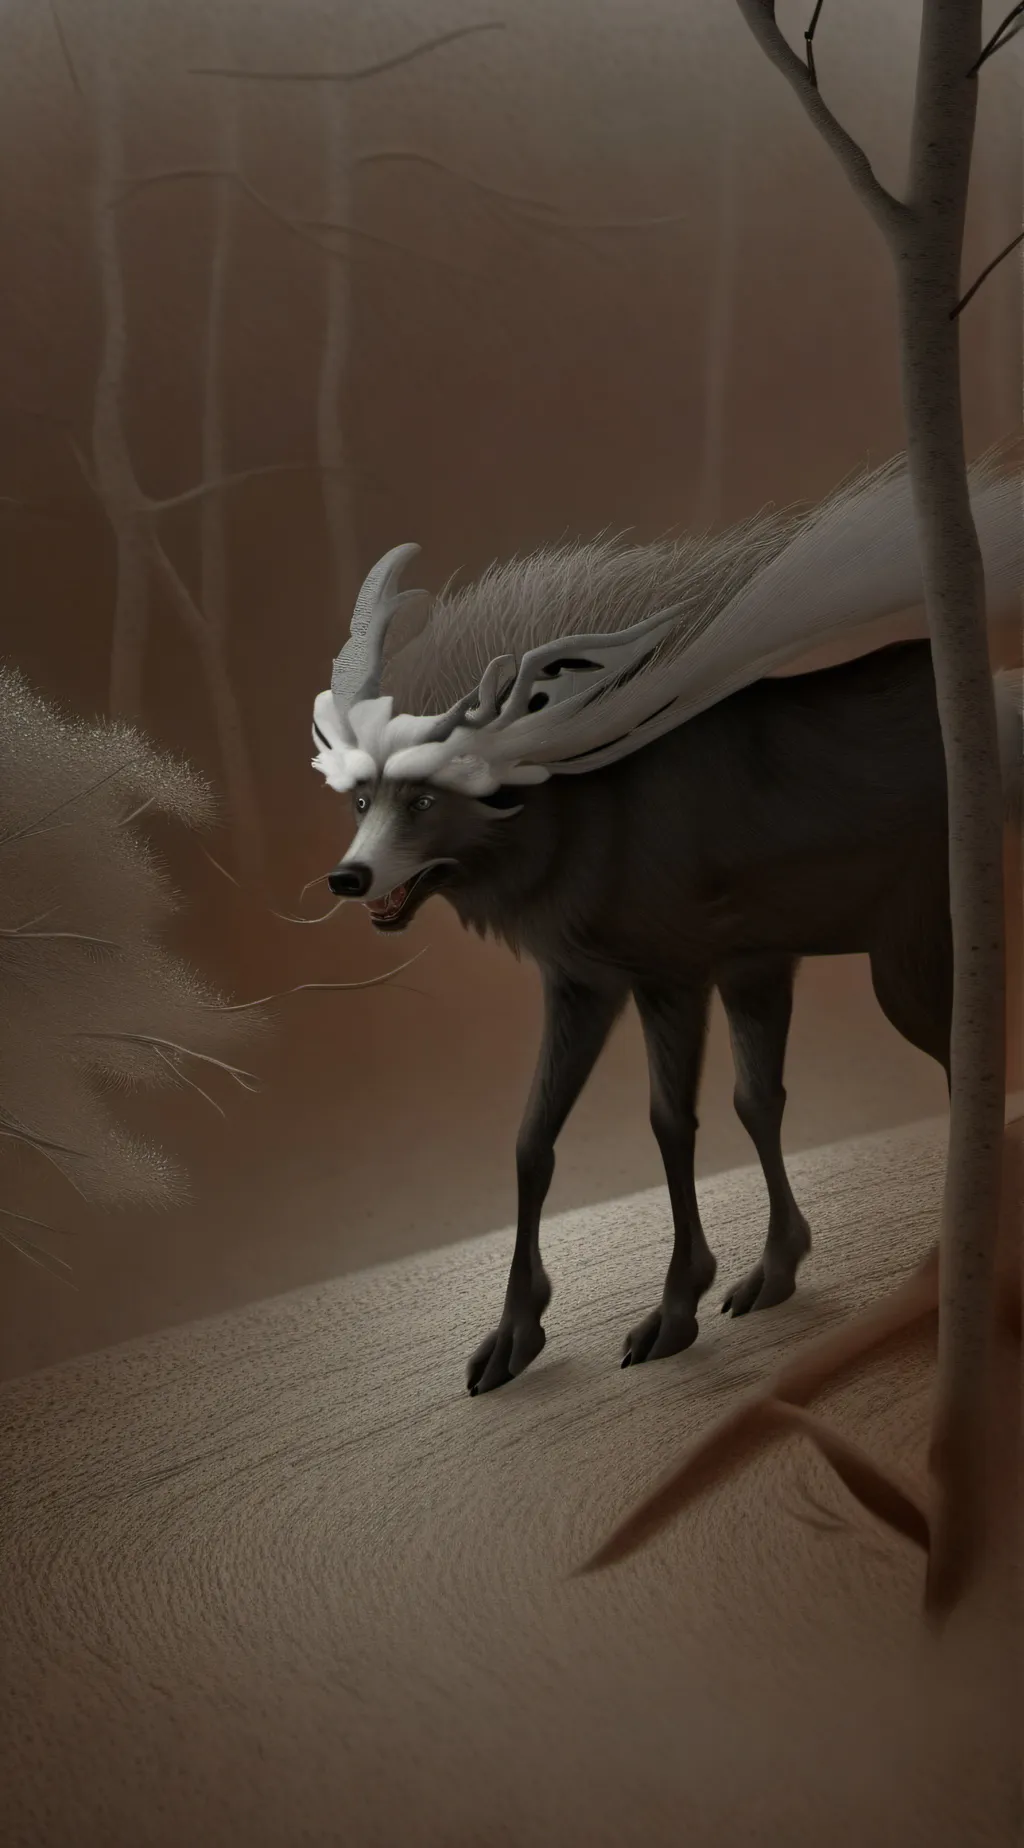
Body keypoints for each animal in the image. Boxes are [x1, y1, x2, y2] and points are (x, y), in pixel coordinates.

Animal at [310, 455, 1023, 1395]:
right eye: (362, 798)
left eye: (428, 799)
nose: (348, 878)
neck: (569, 839)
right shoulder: (618, 977)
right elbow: (547, 1136)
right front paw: (517, 1334)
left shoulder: (672, 974)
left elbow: (670, 1124)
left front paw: (677, 1307)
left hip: (912, 948)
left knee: (966, 1064)